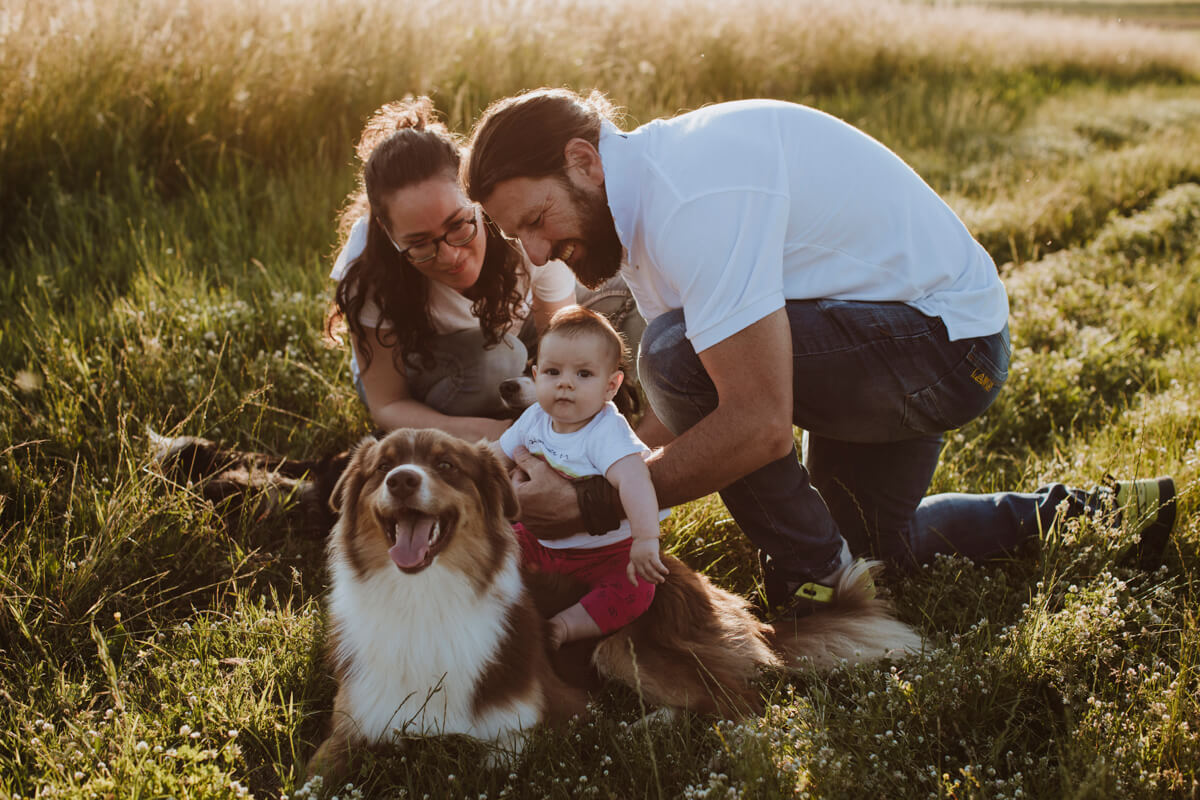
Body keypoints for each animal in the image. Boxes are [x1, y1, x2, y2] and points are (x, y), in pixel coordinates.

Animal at [307, 431, 916, 777]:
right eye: (380, 468)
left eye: (447, 466)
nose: (402, 481)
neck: (422, 597)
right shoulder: (352, 723)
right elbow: (313, 775)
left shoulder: (550, 714)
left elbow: (496, 765)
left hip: (623, 646)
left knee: (736, 701)